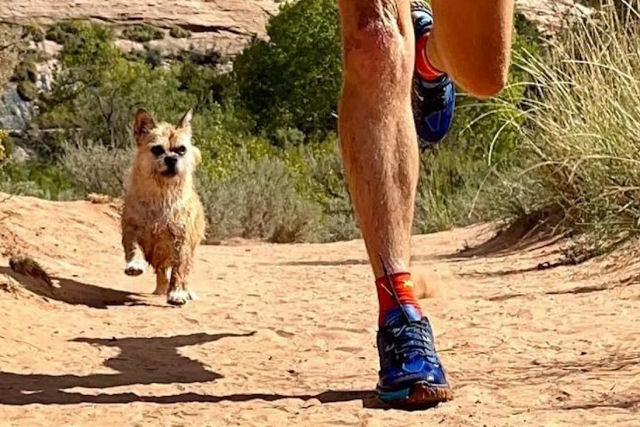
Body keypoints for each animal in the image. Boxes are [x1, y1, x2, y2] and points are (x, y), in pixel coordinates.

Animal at [122, 108, 205, 306]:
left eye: (182, 149)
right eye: (157, 149)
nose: (171, 158)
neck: (161, 195)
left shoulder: (182, 240)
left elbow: (179, 269)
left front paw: (177, 293)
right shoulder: (131, 229)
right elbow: (133, 248)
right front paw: (134, 264)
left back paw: (185, 291)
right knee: (160, 271)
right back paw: (160, 288)